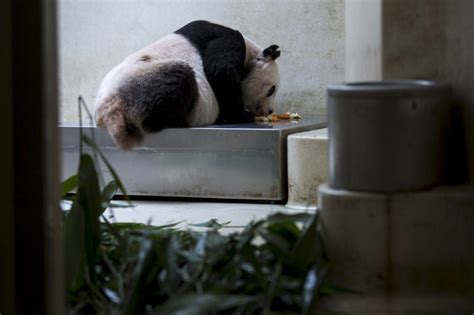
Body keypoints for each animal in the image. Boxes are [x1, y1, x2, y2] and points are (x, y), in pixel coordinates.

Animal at [95, 20, 282, 150]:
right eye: (271, 90)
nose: (270, 111)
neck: (251, 51)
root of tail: (110, 111)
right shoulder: (225, 37)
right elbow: (221, 71)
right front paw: (242, 115)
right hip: (144, 82)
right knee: (179, 77)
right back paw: (176, 121)